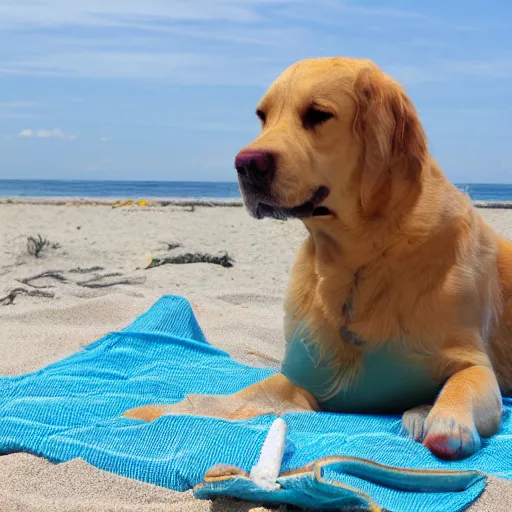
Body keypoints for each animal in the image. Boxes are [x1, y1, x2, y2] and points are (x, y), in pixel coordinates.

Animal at [126, 58, 512, 462]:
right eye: (262, 116)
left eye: (318, 114)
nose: (244, 164)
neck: (357, 261)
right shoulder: (299, 384)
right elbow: (223, 401)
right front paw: (153, 412)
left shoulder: (473, 362)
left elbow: (464, 380)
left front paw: (448, 422)